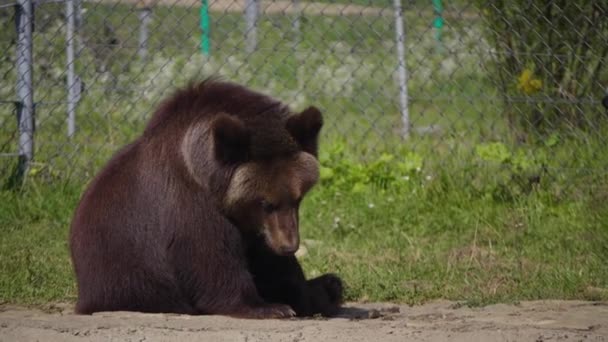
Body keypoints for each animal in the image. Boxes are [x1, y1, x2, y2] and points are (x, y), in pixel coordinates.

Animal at [69, 77, 344, 318]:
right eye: (265, 203)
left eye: (298, 198)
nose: (289, 246)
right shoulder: (190, 203)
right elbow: (212, 259)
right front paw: (270, 307)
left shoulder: (256, 228)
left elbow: (273, 266)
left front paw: (319, 290)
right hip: (126, 274)